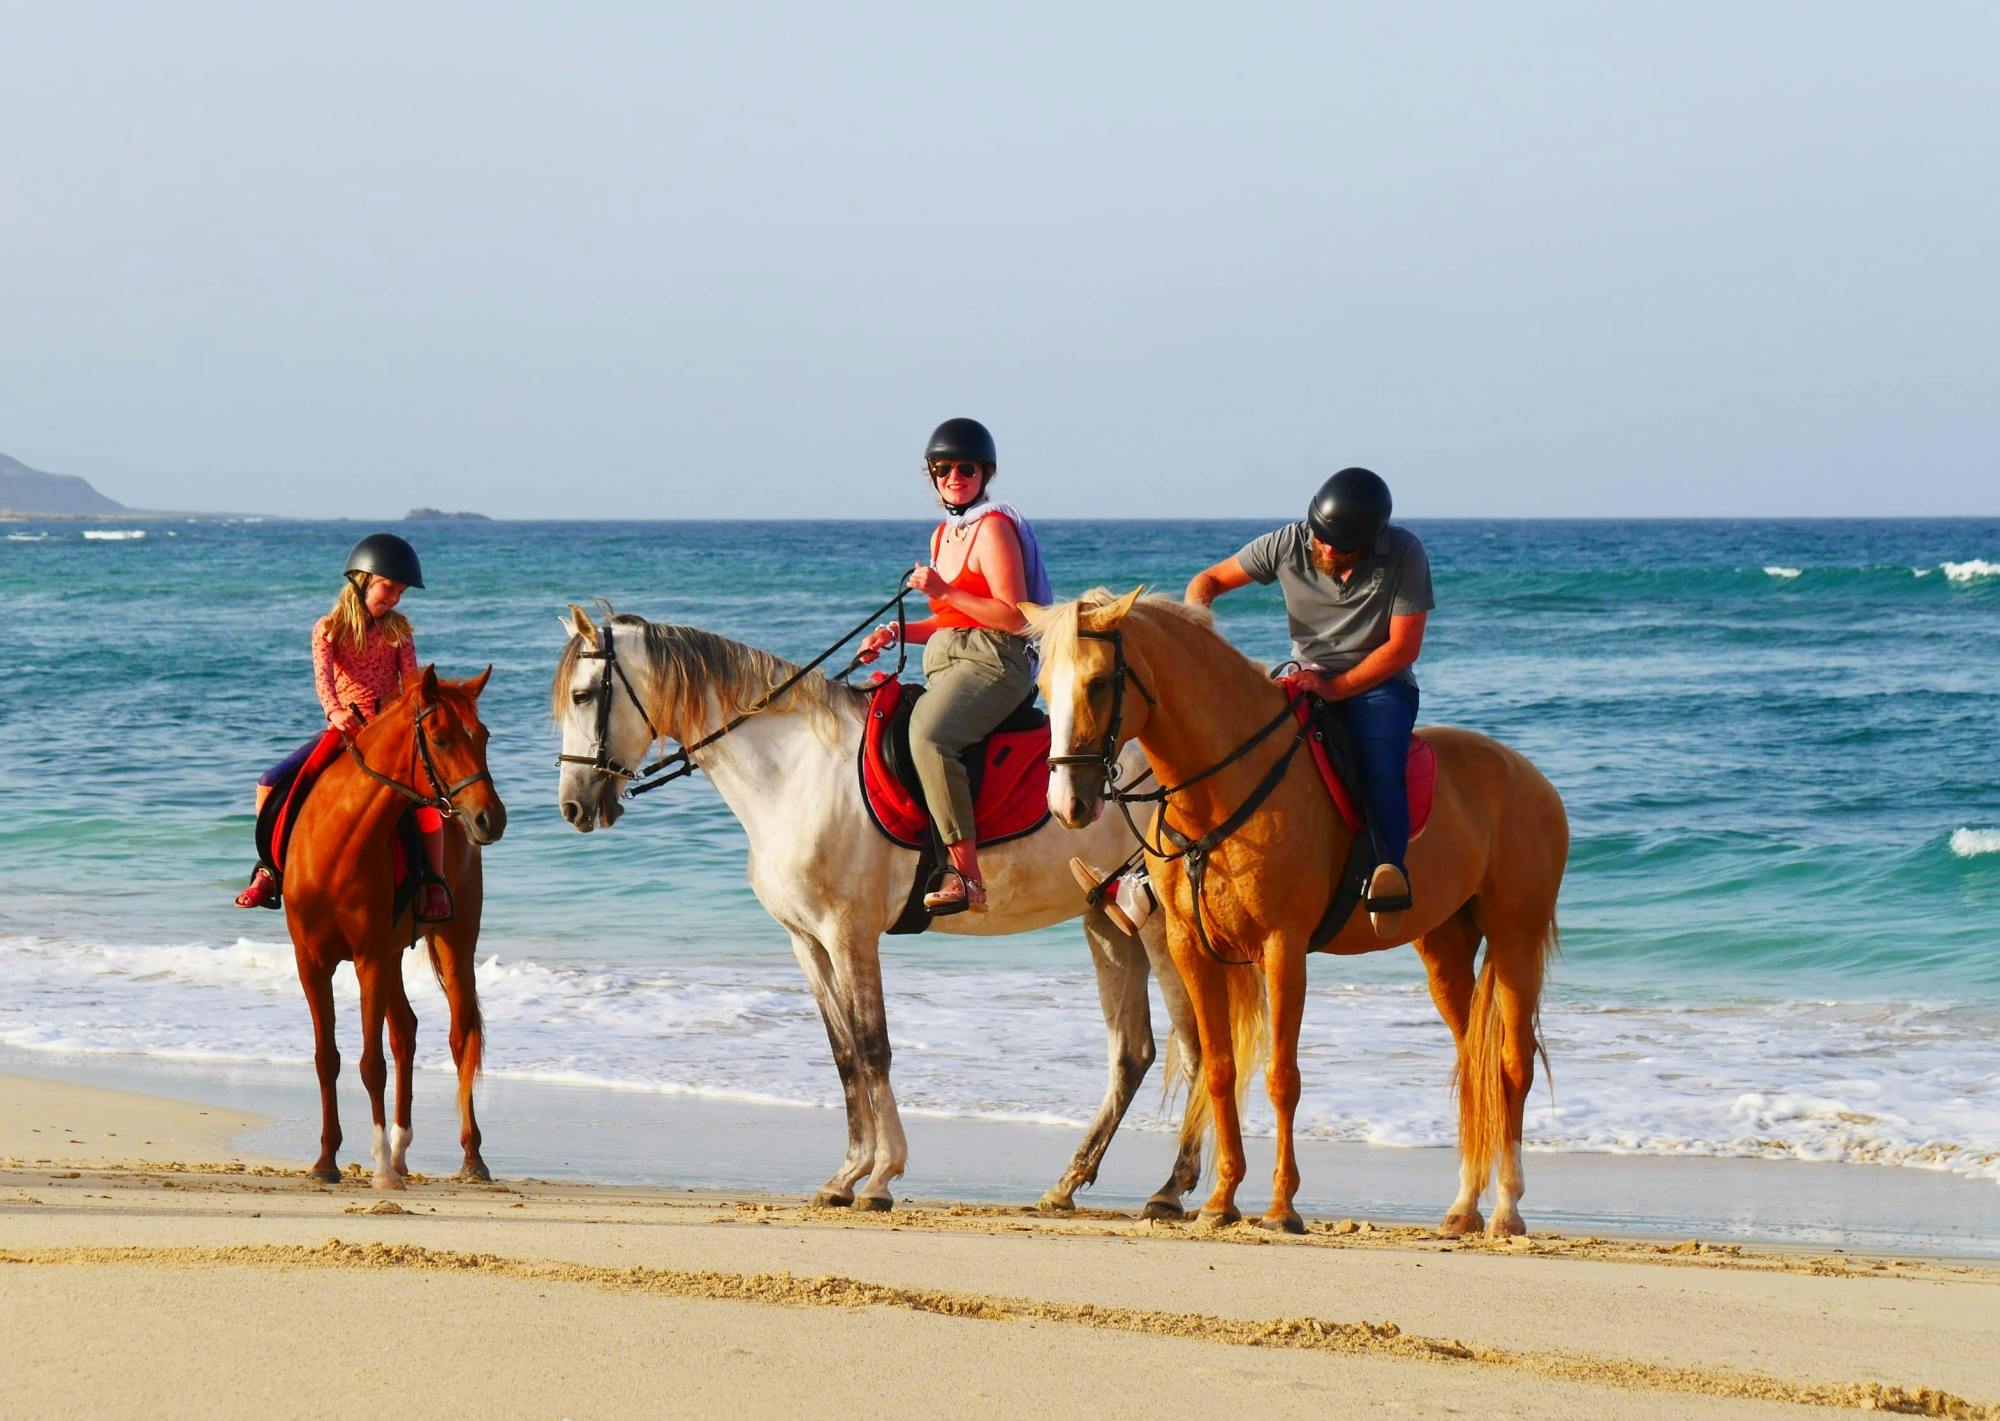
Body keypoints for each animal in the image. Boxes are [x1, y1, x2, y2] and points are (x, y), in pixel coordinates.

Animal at [284, 668, 508, 1192]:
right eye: (442, 739)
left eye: (484, 736)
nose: (491, 818)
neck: (337, 840)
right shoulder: (312, 962)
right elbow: (327, 1058)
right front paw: (326, 1160)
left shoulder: (367, 957)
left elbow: (371, 1064)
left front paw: (381, 1168)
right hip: (391, 956)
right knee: (405, 1029)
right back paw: (403, 1149)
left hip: (452, 942)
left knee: (460, 1036)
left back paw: (471, 1157)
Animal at [552, 608, 1232, 1216]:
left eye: (584, 696)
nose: (573, 807)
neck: (795, 769)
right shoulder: (807, 941)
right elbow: (844, 1053)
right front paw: (846, 1174)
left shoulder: (850, 934)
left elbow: (873, 1046)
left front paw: (880, 1176)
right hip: (1107, 921)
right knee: (1133, 1053)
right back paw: (1067, 1184)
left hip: (1158, 927)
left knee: (1197, 1049)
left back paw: (1171, 1189)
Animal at [1032, 588, 1576, 1232]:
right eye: (1043, 686)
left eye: (1096, 684)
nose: (1068, 804)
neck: (1222, 786)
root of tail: (1532, 778)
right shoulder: (1192, 949)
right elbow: (1220, 1069)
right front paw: (1220, 1200)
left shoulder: (1282, 947)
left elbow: (1280, 1078)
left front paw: (1281, 1206)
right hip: (1444, 947)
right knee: (1474, 1061)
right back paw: (1464, 1208)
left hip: (1515, 939)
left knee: (1513, 1064)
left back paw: (1507, 1209)